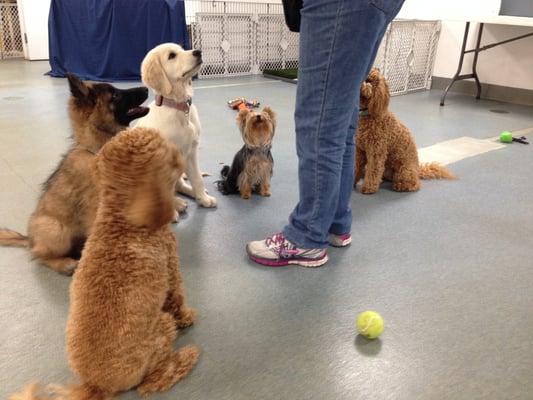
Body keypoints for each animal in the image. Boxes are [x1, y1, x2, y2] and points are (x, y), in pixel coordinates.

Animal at [0, 73, 149, 276]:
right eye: (115, 96)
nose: (146, 88)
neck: (96, 150)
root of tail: (30, 238)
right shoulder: (94, 210)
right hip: (56, 229)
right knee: (38, 254)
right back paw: (64, 264)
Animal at [9, 127, 198, 400]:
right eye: (163, 146)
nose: (181, 155)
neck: (121, 219)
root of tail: (95, 385)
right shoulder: (171, 265)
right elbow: (176, 297)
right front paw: (187, 316)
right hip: (161, 329)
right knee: (151, 383)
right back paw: (186, 356)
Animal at [136, 41, 217, 217]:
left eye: (182, 49)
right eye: (172, 55)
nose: (198, 52)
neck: (178, 107)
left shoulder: (191, 151)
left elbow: (197, 178)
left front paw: (203, 199)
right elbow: (161, 191)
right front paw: (170, 212)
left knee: (179, 184)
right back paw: (177, 204)